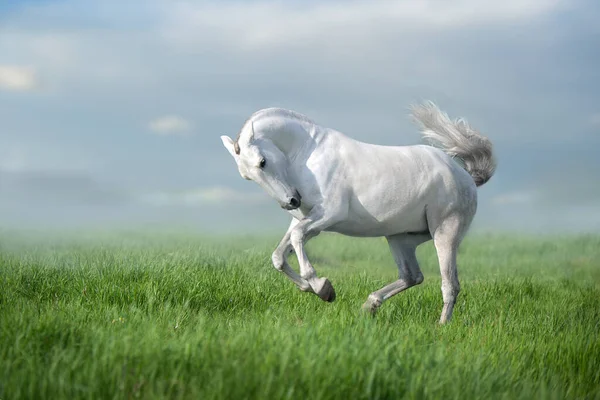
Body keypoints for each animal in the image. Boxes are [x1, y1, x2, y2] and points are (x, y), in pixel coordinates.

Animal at [220, 101, 496, 324]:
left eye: (262, 162)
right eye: (247, 176)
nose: (290, 201)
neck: (309, 154)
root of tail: (465, 176)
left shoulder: (328, 215)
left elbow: (297, 240)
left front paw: (321, 286)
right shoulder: (305, 219)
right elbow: (279, 256)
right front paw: (319, 289)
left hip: (445, 234)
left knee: (450, 285)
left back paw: (441, 326)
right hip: (401, 239)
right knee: (412, 276)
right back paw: (370, 305)